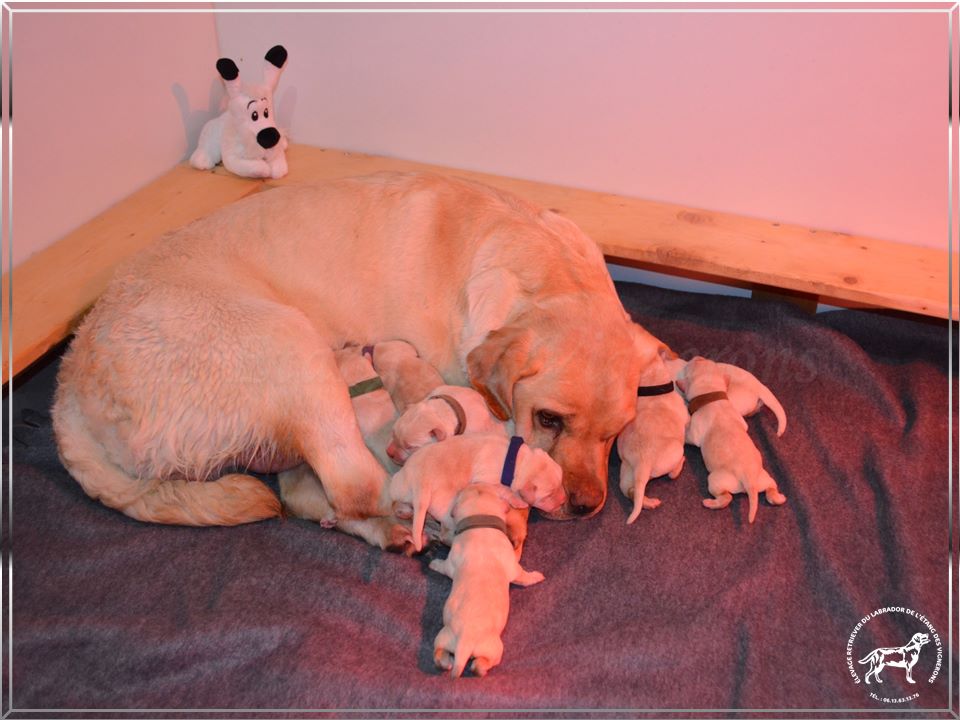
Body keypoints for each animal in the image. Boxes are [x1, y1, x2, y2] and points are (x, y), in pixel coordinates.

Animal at [48, 173, 640, 536]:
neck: (543, 266)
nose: (586, 506)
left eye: (616, 433)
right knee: (357, 485)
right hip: (288, 341)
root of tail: (68, 388)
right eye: (548, 419)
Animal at [390, 434, 568, 552]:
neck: (515, 460)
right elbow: (505, 489)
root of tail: (422, 481)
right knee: (446, 533)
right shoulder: (486, 479)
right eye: (548, 495)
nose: (563, 500)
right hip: (447, 505)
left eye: (561, 481)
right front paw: (518, 500)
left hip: (400, 484)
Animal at [432, 480, 544, 676]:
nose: (475, 481)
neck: (480, 521)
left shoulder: (452, 559)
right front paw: (536, 576)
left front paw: (433, 564)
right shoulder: (512, 566)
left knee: (438, 653)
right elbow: (522, 576)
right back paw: (480, 668)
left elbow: (444, 567)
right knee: (483, 663)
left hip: (444, 636)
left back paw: (445, 663)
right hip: (493, 647)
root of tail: (465, 642)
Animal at [620, 352, 688, 520]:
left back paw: (649, 503)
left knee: (630, 491)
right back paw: (681, 463)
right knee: (672, 474)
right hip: (676, 450)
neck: (653, 386)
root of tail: (643, 462)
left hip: (627, 470)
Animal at [676, 356, 788, 520]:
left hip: (716, 480)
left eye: (692, 365)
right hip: (764, 477)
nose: (697, 357)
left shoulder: (695, 430)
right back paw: (779, 498)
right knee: (772, 487)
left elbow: (688, 435)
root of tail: (749, 482)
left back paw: (710, 503)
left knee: (726, 498)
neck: (713, 396)